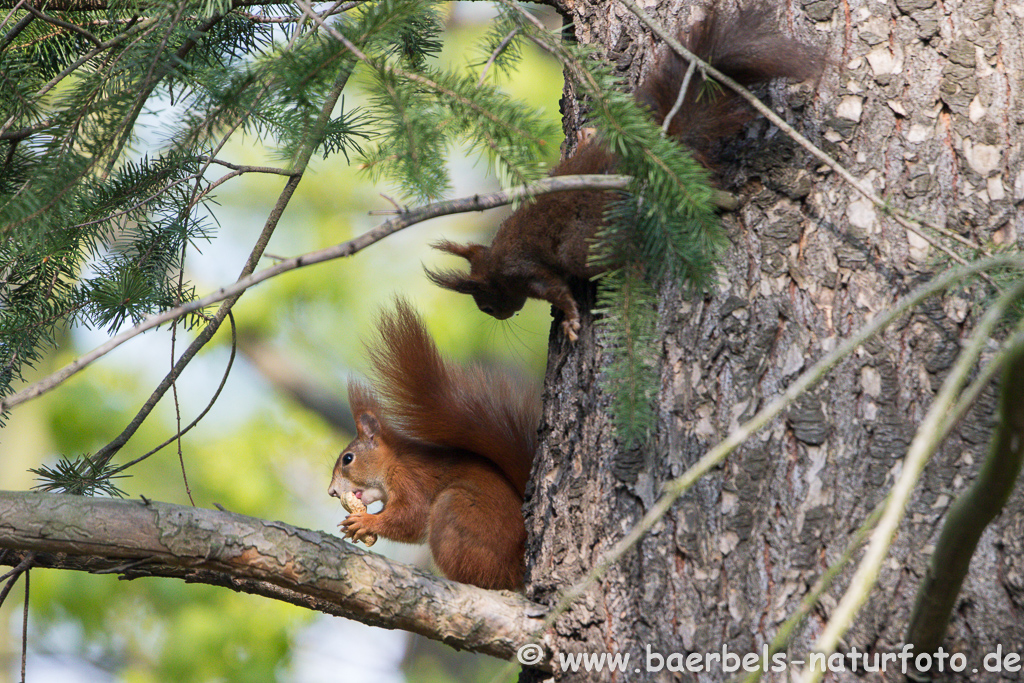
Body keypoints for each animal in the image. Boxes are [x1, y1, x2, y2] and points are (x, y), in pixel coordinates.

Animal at [327, 299, 540, 593]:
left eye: (348, 459)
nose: (331, 492)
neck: (393, 461)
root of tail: (516, 566)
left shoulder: (410, 478)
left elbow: (412, 516)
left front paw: (367, 521)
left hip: (455, 511)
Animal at [423, 7, 823, 342]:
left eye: (486, 304)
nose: (502, 316)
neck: (496, 262)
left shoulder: (527, 271)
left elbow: (558, 292)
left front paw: (570, 320)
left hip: (584, 240)